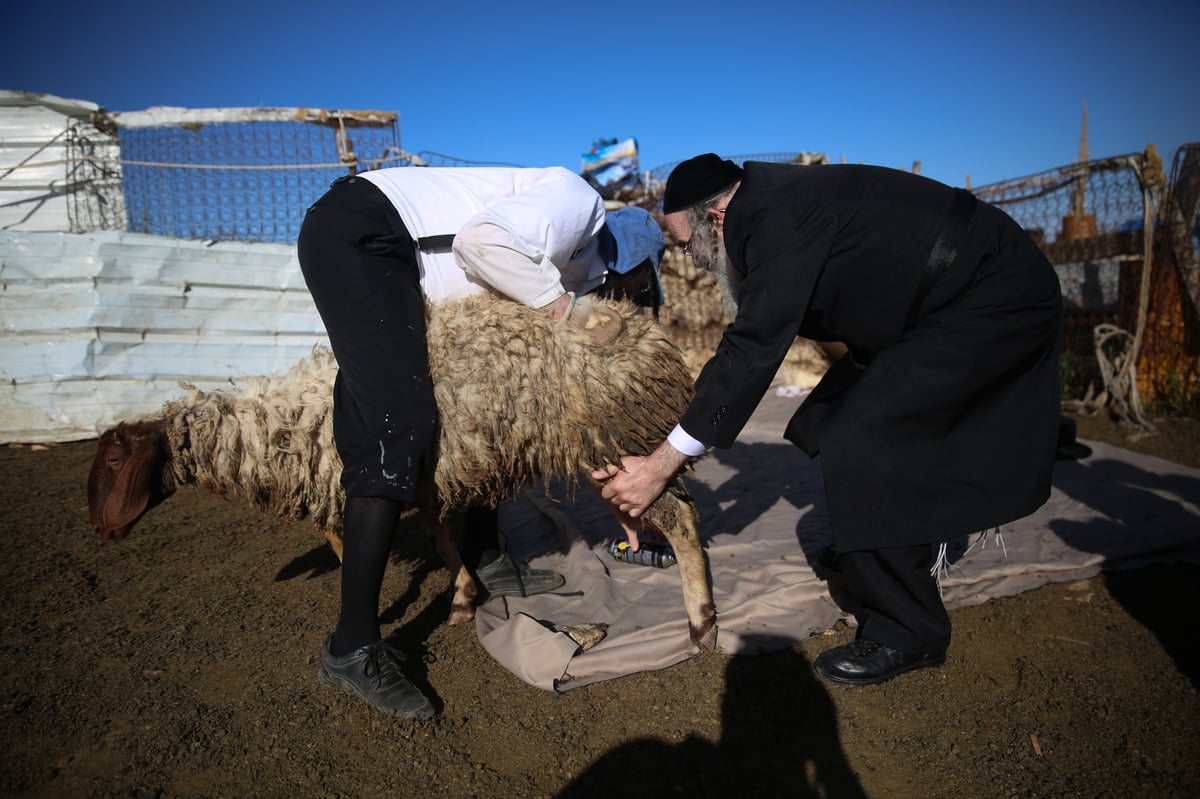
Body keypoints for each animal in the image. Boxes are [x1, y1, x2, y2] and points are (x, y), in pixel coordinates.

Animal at [88, 291, 715, 647]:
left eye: (116, 461)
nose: (101, 529)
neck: (283, 426)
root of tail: (649, 332)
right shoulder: (417, 478)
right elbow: (435, 536)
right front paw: (464, 594)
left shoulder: (366, 479)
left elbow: (352, 546)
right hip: (606, 446)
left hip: (621, 436)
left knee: (682, 519)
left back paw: (701, 619)